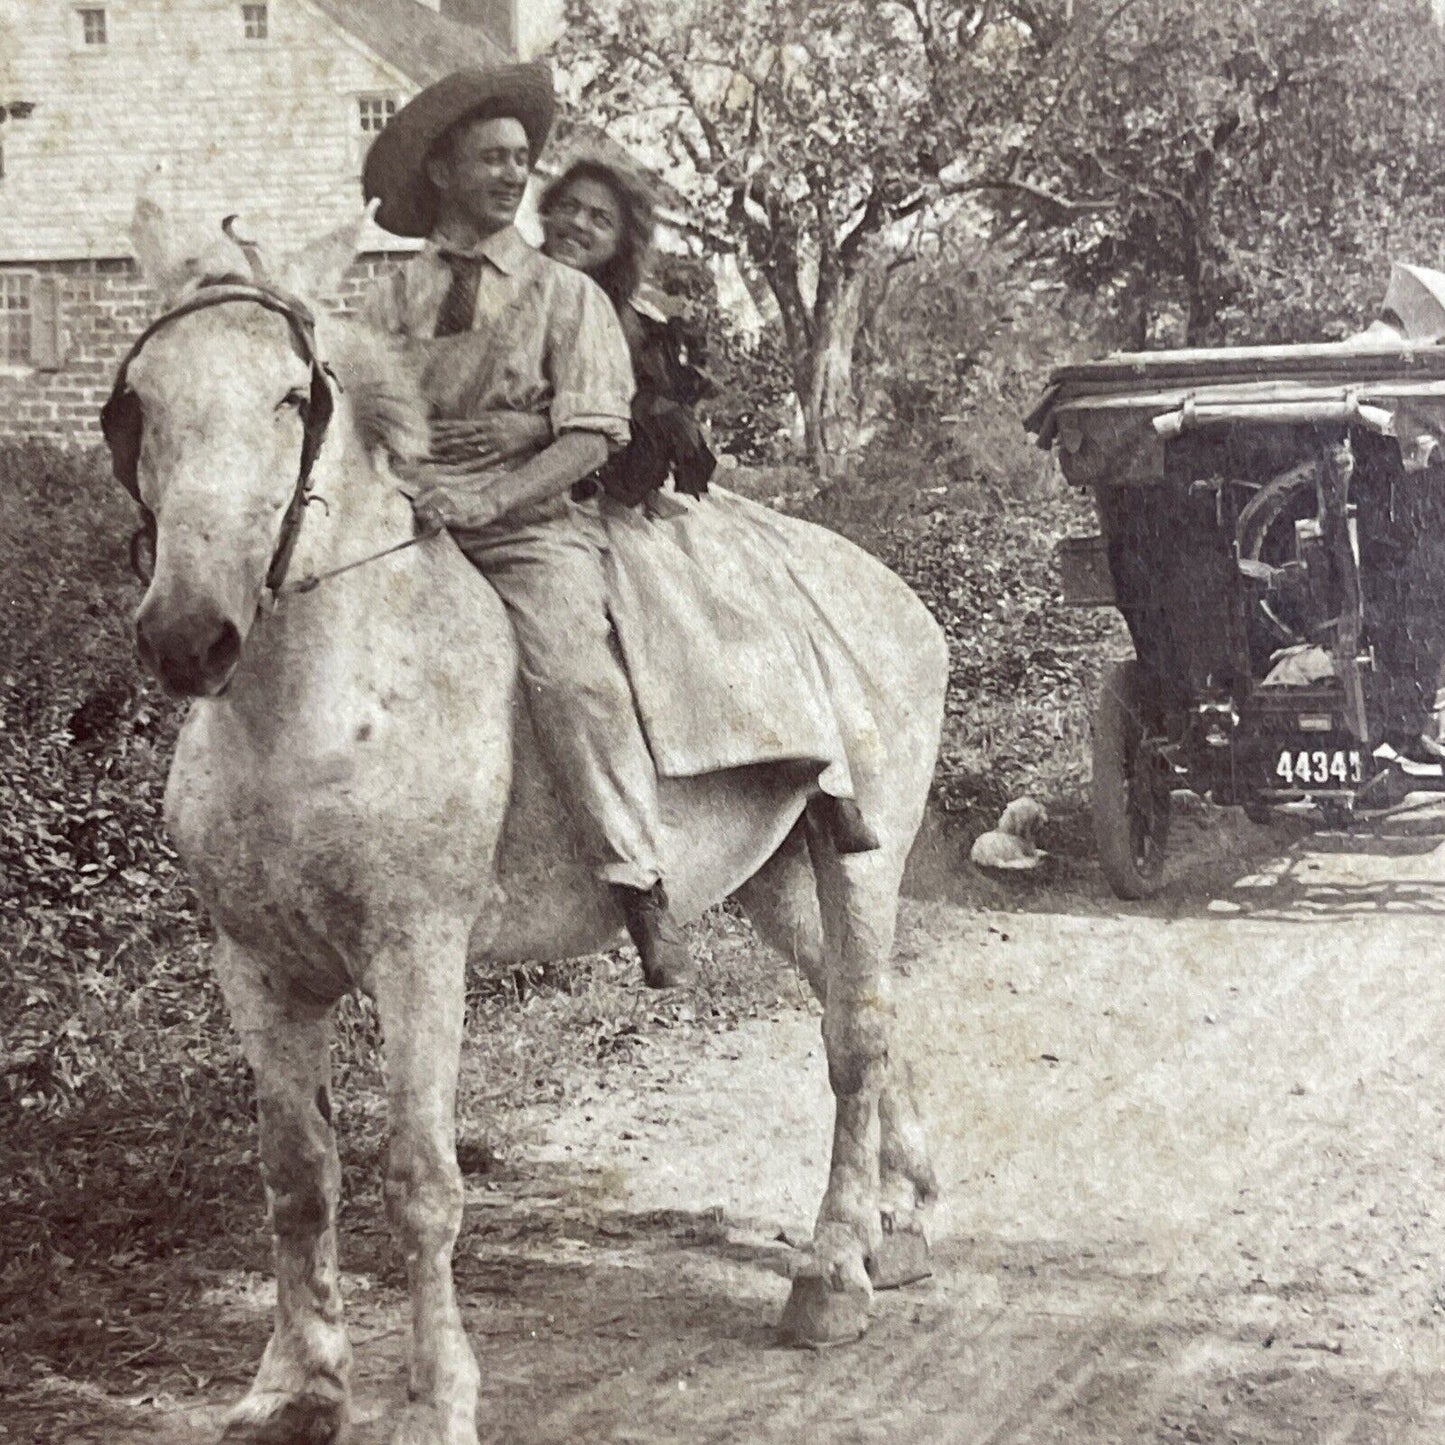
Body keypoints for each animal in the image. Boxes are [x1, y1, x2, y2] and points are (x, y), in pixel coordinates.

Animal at [121, 206, 947, 1445]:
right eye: (141, 399)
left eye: (291, 395)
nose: (186, 635)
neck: (311, 703)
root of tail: (895, 596)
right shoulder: (256, 965)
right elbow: (296, 1174)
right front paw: (292, 1385)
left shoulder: (417, 955)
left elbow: (419, 1179)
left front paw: (438, 1398)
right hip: (778, 880)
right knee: (870, 1022)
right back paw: (899, 1219)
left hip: (865, 860)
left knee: (850, 1039)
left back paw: (832, 1275)